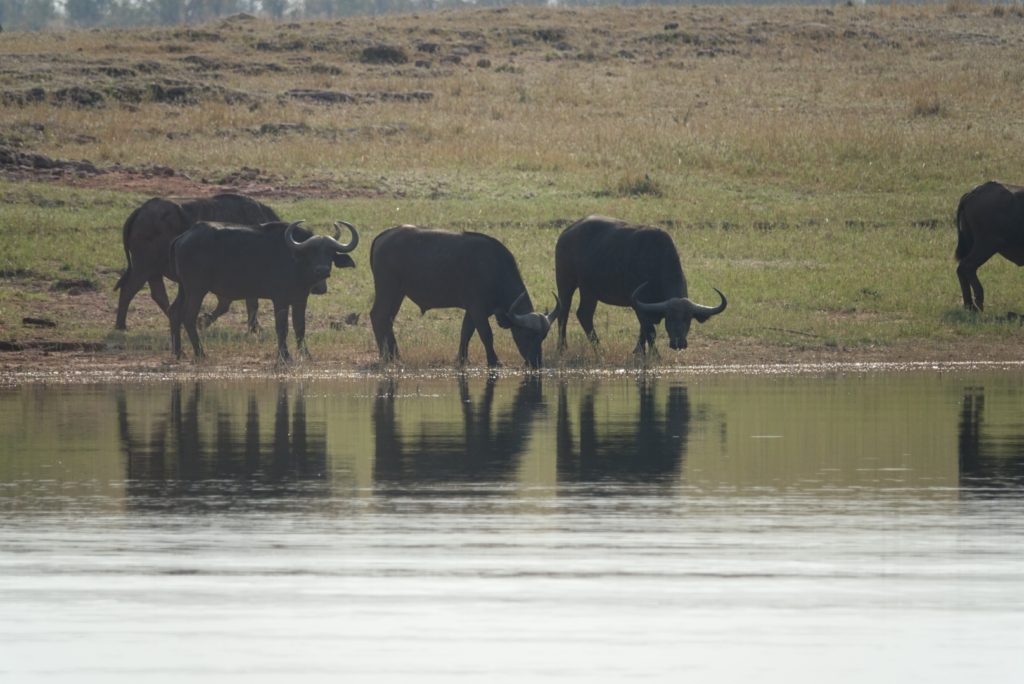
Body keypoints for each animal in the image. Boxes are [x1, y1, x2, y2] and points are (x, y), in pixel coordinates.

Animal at [114, 192, 280, 331]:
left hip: (153, 271)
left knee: (158, 294)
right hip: (143, 266)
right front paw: (255, 328)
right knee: (129, 289)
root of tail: (140, 210)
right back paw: (121, 325)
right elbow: (249, 303)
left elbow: (229, 303)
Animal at [370, 225, 561, 368]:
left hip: (397, 293)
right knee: (379, 316)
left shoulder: (472, 311)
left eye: (543, 337)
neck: (494, 270)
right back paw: (387, 355)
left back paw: (394, 355)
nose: (536, 363)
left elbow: (466, 332)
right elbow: (486, 334)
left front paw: (462, 359)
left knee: (387, 319)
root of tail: (384, 235)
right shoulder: (478, 309)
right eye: (527, 335)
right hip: (389, 289)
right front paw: (494, 361)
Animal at [552, 216, 729, 356]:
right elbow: (649, 330)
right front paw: (655, 354)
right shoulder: (639, 303)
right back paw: (563, 348)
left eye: (688, 318)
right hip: (566, 283)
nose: (678, 343)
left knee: (584, 314)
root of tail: (566, 233)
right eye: (670, 318)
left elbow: (644, 330)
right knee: (565, 311)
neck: (657, 261)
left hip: (590, 291)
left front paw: (638, 351)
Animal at [950, 180, 1024, 311]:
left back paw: (969, 305)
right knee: (966, 266)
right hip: (986, 246)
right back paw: (977, 302)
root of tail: (972, 193)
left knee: (962, 269)